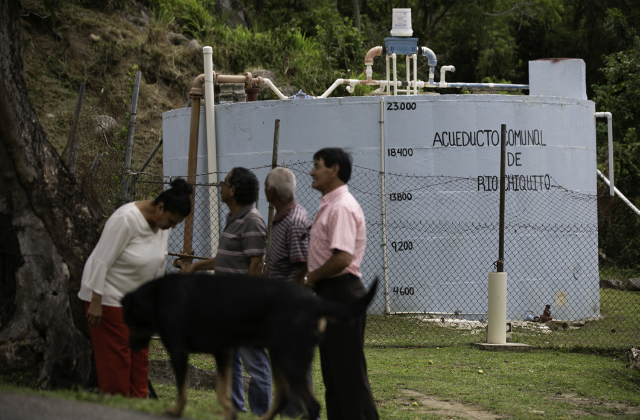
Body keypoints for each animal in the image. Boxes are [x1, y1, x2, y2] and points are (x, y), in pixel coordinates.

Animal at [122, 272, 378, 420]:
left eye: (127, 319)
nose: (130, 346)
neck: (156, 296)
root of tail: (315, 302)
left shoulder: (178, 351)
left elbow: (183, 389)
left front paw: (175, 411)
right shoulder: (223, 352)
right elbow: (222, 391)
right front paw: (229, 414)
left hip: (290, 358)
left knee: (312, 406)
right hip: (279, 356)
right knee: (283, 397)